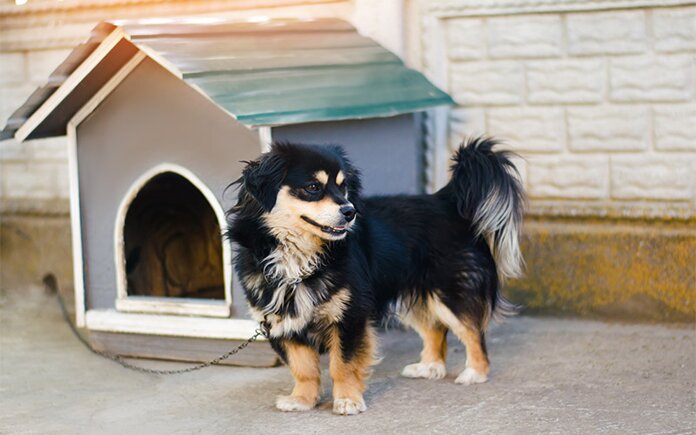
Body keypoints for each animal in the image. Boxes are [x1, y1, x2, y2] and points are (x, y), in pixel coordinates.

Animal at [226, 136, 524, 416]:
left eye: (343, 187)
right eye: (312, 187)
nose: (350, 211)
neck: (299, 255)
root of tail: (445, 199)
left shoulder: (350, 315)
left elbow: (342, 364)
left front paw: (347, 400)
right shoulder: (282, 321)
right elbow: (303, 368)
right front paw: (302, 400)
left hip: (449, 293)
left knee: (472, 332)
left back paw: (475, 372)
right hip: (415, 295)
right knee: (435, 329)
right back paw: (429, 367)